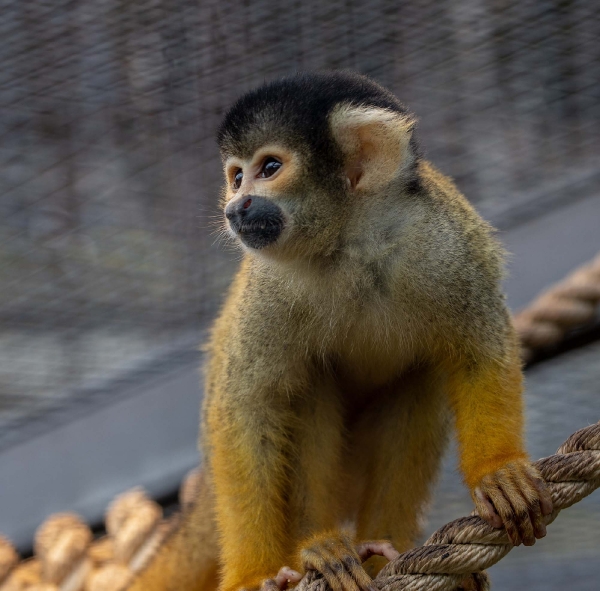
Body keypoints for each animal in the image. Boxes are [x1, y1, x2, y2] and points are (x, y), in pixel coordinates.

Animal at [130, 73, 552, 591]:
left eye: (269, 167)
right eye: (236, 176)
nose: (235, 206)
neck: (348, 243)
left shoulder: (444, 243)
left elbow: (479, 347)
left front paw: (498, 474)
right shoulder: (269, 285)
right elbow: (245, 409)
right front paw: (252, 574)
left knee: (418, 378)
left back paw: (382, 551)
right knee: (309, 386)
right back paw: (320, 550)